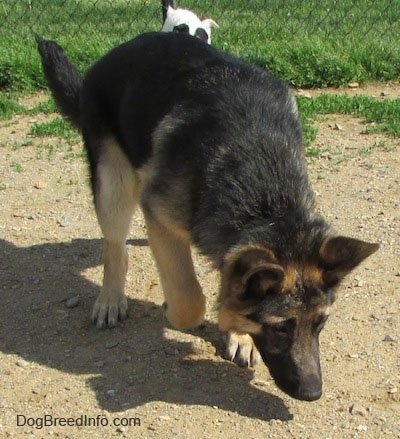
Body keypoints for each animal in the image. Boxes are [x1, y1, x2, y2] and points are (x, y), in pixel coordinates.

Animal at [36, 33, 378, 402]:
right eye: (281, 329)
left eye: (320, 324)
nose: (313, 393)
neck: (265, 204)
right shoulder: (159, 216)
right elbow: (190, 301)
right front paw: (187, 313)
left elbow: (229, 281)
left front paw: (239, 334)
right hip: (114, 183)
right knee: (115, 247)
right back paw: (111, 298)